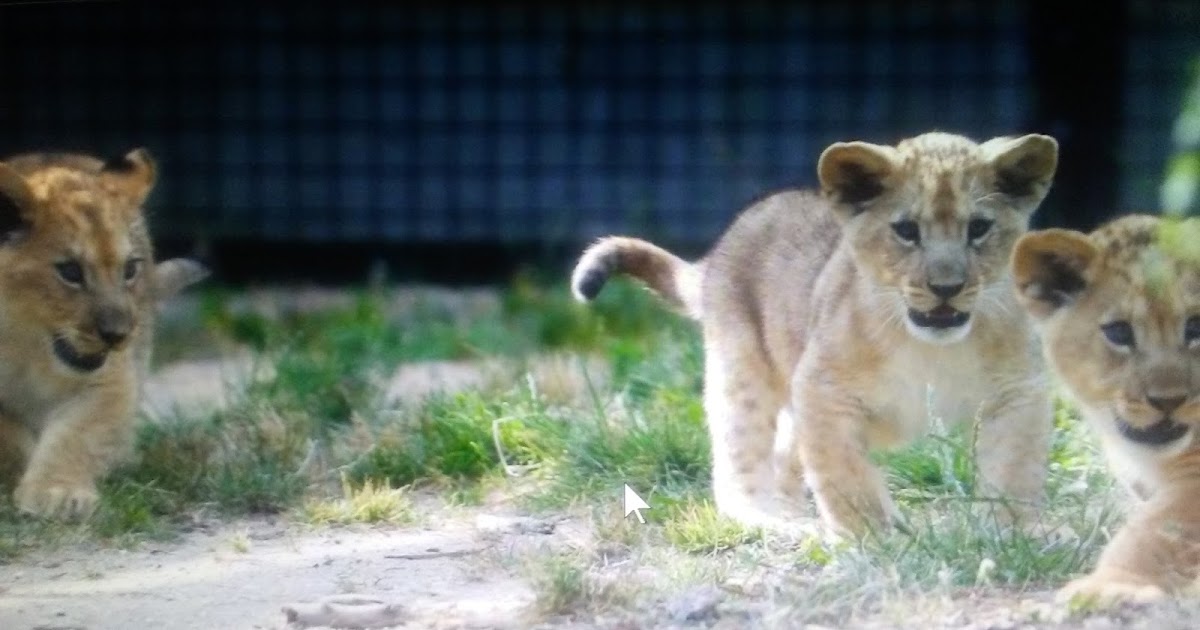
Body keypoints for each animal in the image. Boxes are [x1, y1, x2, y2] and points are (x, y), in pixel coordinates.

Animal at [0, 148, 208, 518]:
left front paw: (57, 493)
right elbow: (8, 435)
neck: (26, 345)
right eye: (70, 271)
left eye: (130, 269)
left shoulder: (109, 380)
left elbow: (77, 433)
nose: (117, 334)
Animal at [572, 132, 1060, 538]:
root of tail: (720, 250)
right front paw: (875, 539)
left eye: (978, 228)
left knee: (785, 455)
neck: (927, 347)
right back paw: (773, 517)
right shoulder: (823, 389)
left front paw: (1012, 534)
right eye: (906, 231)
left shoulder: (1018, 390)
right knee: (740, 466)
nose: (946, 287)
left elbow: (1012, 469)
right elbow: (845, 473)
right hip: (740, 372)